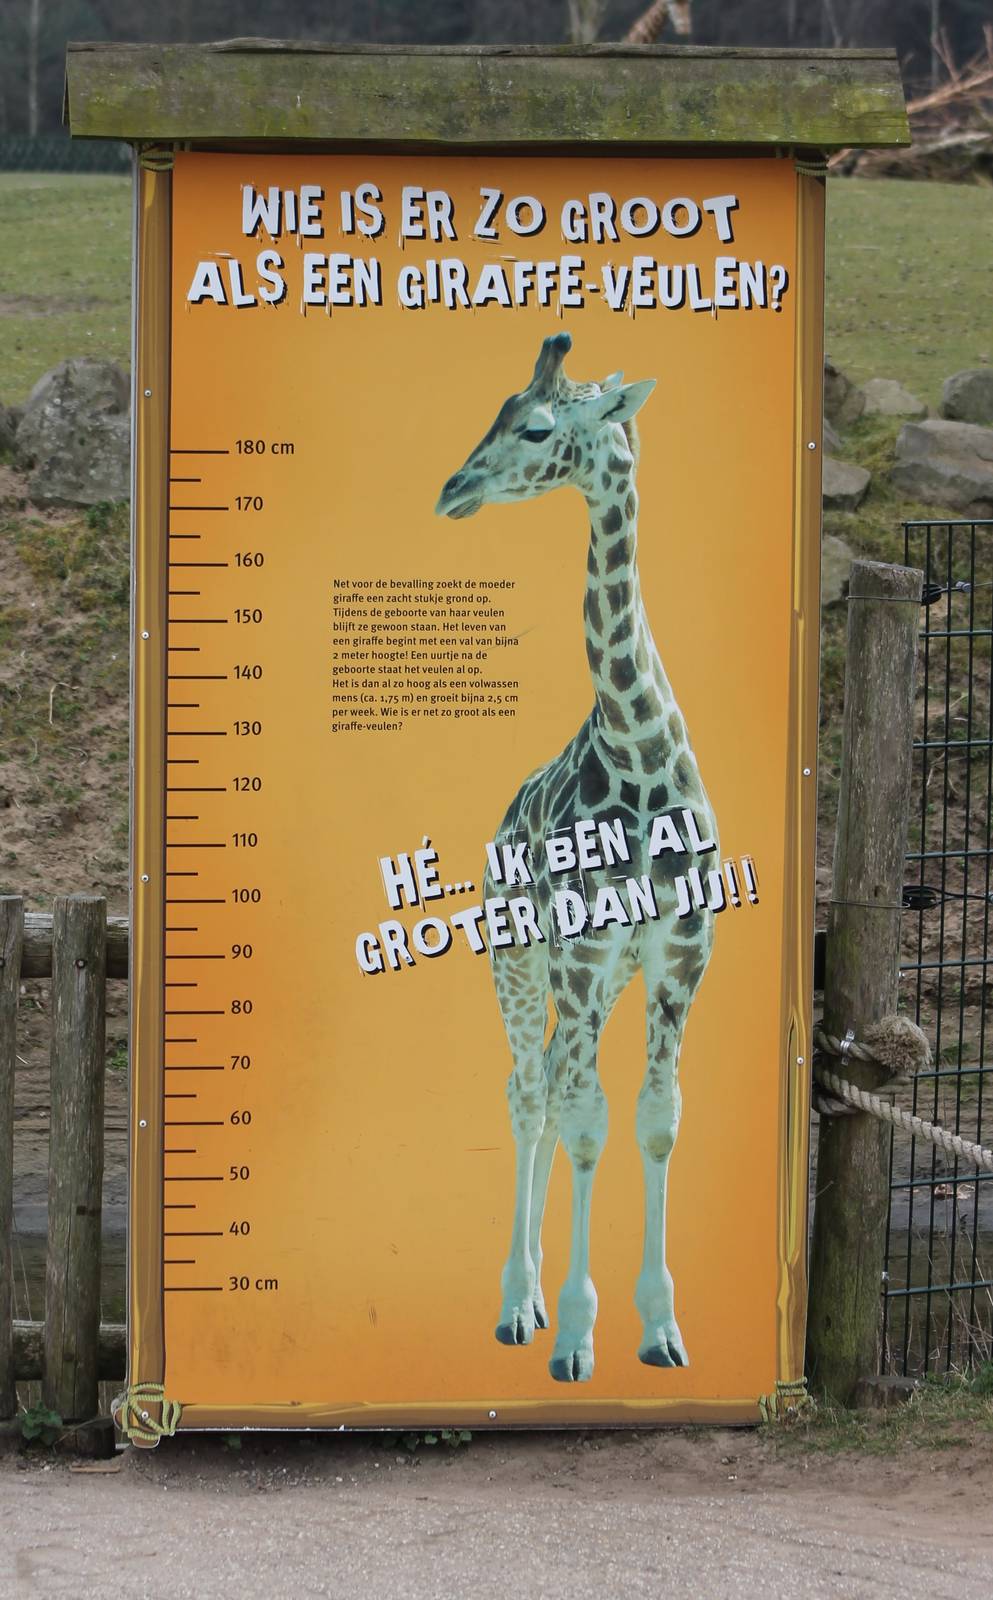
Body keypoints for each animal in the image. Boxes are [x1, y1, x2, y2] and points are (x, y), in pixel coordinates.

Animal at [436, 333, 719, 1383]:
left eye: (536, 427)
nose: (452, 490)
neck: (637, 753)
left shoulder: (677, 959)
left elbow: (654, 1120)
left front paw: (659, 1329)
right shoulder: (587, 960)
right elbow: (590, 1123)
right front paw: (575, 1335)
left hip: (576, 978)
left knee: (557, 1090)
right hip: (519, 964)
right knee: (531, 1094)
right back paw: (517, 1304)